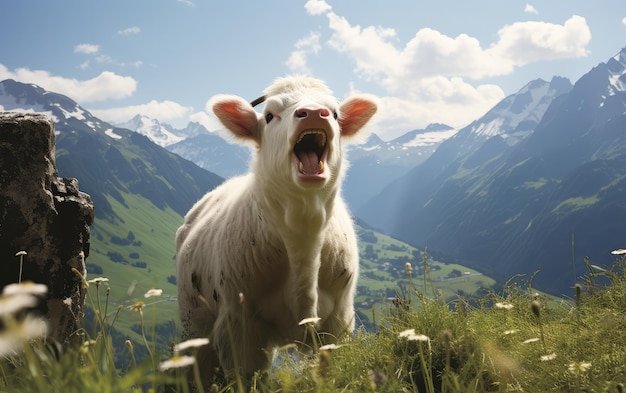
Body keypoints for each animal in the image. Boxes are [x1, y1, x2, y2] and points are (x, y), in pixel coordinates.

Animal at [177, 75, 376, 378]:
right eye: (270, 116)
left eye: (335, 113)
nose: (314, 113)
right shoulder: (239, 329)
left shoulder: (339, 322)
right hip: (194, 327)